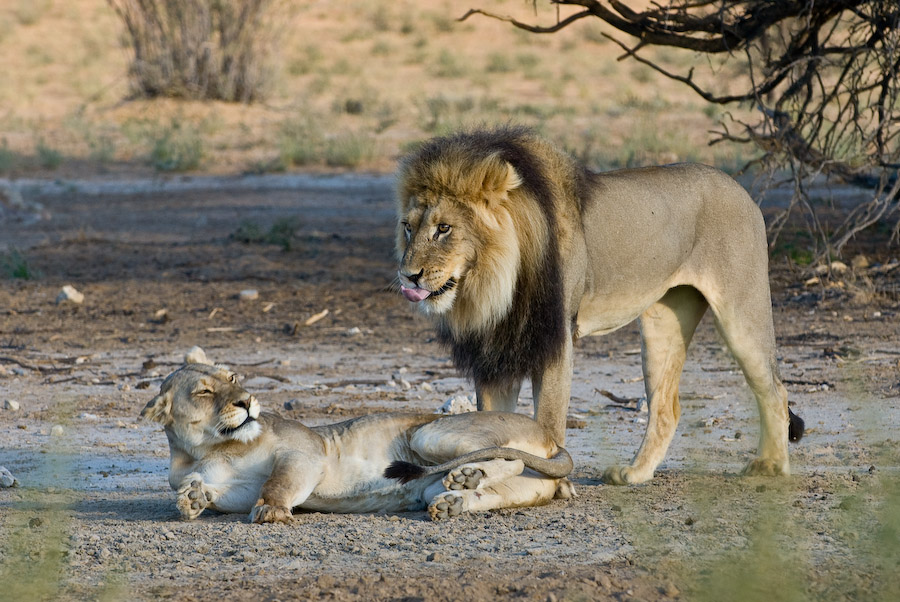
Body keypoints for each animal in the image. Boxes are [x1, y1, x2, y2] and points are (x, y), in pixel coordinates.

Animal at [143, 346, 572, 520]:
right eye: (204, 392)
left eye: (232, 377)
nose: (247, 401)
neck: (211, 447)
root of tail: (552, 438)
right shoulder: (235, 486)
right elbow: (220, 492)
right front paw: (194, 498)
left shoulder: (305, 451)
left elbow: (277, 484)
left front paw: (271, 511)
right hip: (480, 487)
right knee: (490, 491)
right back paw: (455, 500)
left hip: (430, 435)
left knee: (505, 457)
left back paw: (469, 475)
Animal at [398, 125, 804, 482]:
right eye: (407, 226)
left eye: (444, 228)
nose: (408, 276)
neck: (490, 285)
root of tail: (740, 188)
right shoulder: (495, 348)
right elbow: (491, 424)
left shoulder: (555, 339)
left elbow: (547, 426)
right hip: (663, 321)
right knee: (667, 406)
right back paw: (635, 474)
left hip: (741, 311)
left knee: (774, 388)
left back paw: (772, 466)